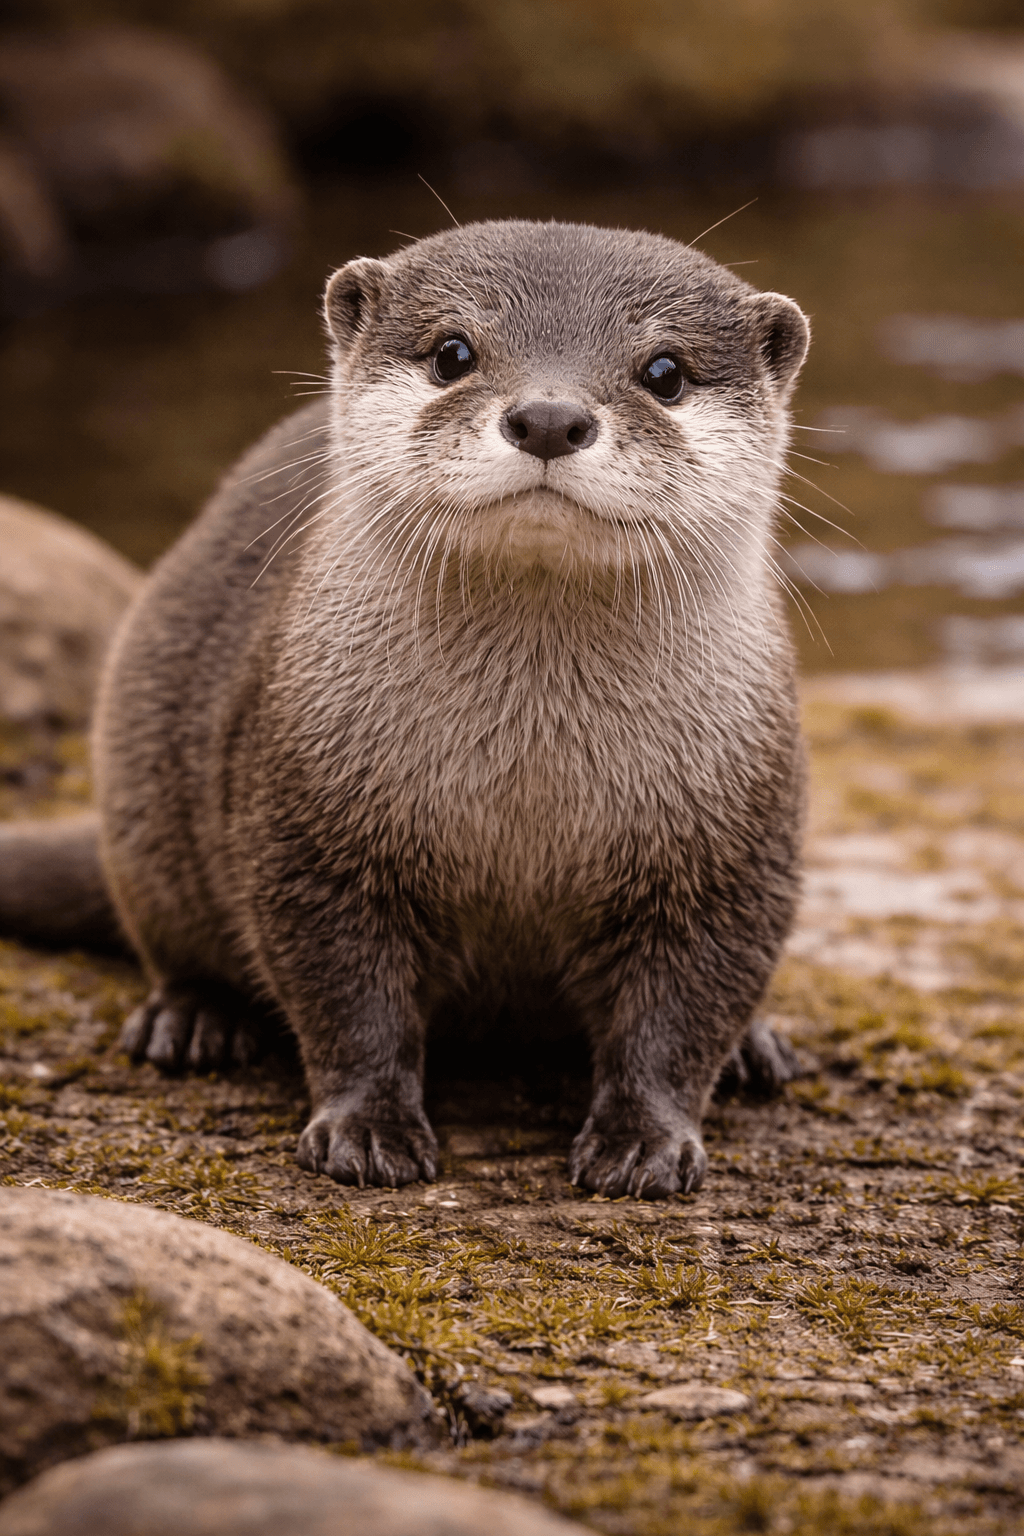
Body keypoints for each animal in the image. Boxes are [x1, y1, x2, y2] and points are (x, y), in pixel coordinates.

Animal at [2, 220, 809, 1198]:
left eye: (665, 371)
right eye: (453, 352)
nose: (548, 417)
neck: (530, 790)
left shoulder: (731, 847)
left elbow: (684, 1012)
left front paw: (645, 1144)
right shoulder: (311, 826)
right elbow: (346, 995)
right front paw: (368, 1131)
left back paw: (759, 1049)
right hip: (141, 789)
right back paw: (191, 1021)